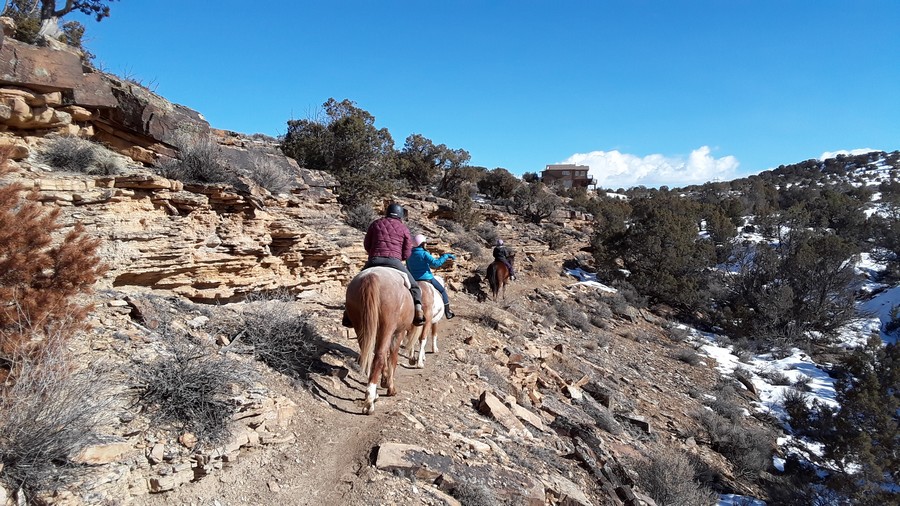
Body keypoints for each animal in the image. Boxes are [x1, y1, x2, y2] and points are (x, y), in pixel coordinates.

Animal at [346, 266, 416, 414]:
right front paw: (390, 386)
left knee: (369, 355)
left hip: (361, 326)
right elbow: (392, 357)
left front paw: (383, 380)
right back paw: (369, 401)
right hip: (387, 327)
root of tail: (371, 277)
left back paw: (373, 394)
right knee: (379, 355)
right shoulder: (398, 333)